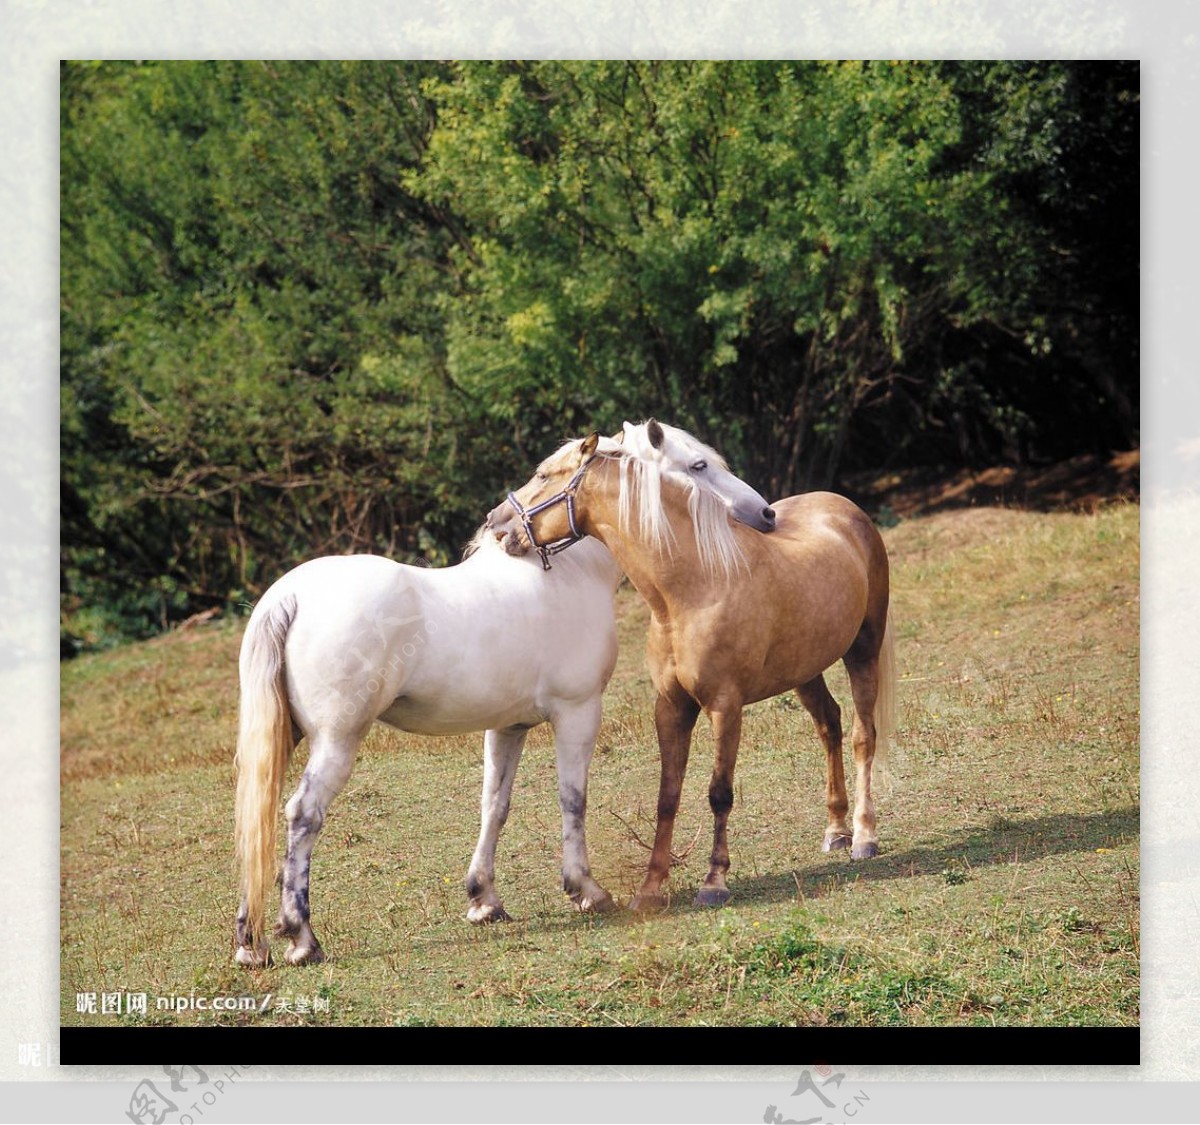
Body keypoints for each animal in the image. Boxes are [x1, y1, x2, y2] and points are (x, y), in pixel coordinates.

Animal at [235, 429, 772, 964]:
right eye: (699, 465)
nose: (765, 513)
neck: (569, 574)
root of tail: (291, 595)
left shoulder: (508, 726)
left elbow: (494, 805)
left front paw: (483, 900)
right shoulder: (577, 713)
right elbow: (572, 798)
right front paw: (586, 890)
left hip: (284, 738)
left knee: (257, 819)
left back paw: (250, 943)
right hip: (337, 740)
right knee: (302, 815)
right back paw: (301, 937)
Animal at [484, 417, 892, 906]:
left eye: (544, 475)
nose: (496, 523)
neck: (694, 586)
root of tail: (843, 507)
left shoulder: (724, 706)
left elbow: (719, 792)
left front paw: (714, 882)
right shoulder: (671, 707)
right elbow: (668, 795)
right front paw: (650, 888)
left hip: (863, 650)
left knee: (862, 737)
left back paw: (864, 836)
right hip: (805, 669)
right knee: (829, 725)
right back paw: (836, 831)